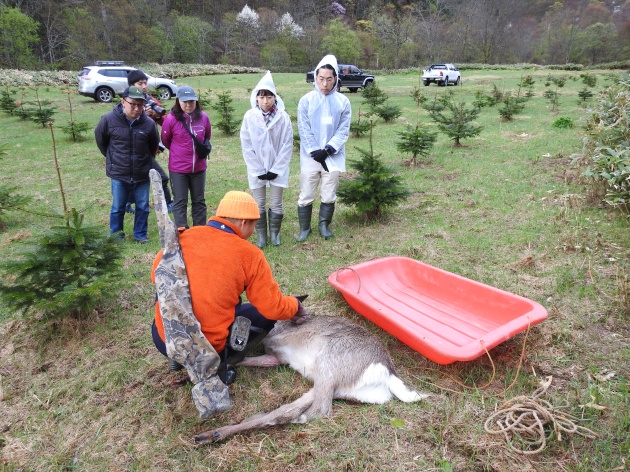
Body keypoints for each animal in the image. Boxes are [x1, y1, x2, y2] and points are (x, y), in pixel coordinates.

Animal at [193, 316, 430, 444]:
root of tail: (388, 372)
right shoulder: (275, 357)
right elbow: (250, 360)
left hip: (328, 363)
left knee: (319, 410)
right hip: (330, 383)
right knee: (288, 409)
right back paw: (209, 435)